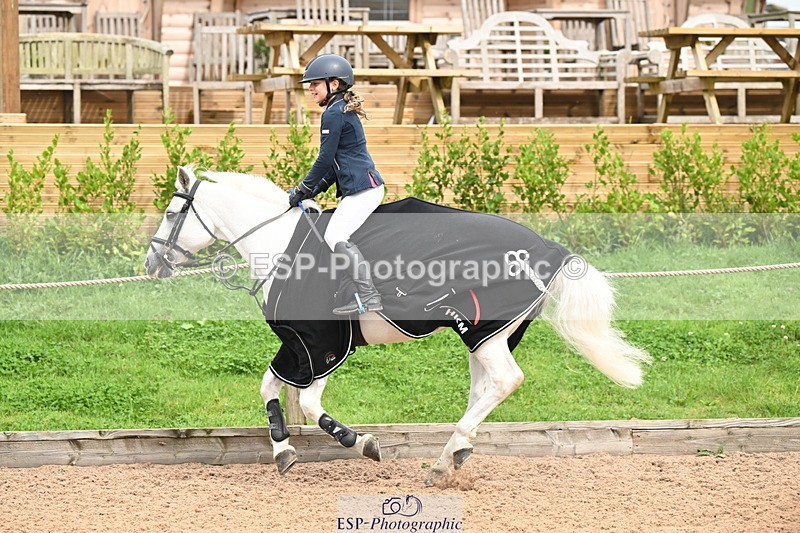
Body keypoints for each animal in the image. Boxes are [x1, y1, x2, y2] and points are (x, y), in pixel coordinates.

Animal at [144, 166, 651, 486]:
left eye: (170, 214)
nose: (151, 265)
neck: (281, 245)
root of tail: (548, 247)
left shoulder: (321, 345)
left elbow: (306, 401)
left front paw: (361, 443)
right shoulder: (298, 348)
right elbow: (271, 388)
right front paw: (284, 452)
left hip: (481, 329)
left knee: (506, 380)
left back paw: (447, 458)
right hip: (487, 332)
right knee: (485, 387)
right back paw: (452, 455)